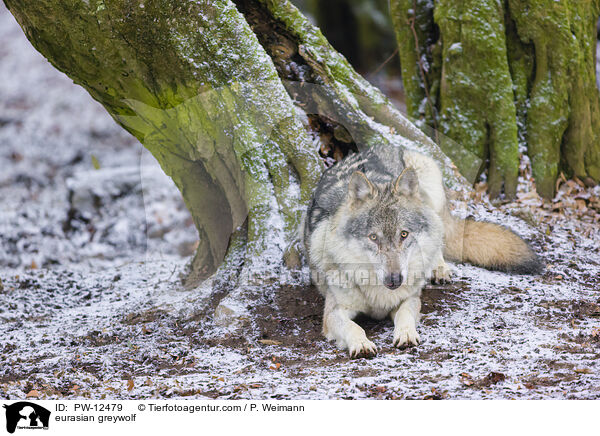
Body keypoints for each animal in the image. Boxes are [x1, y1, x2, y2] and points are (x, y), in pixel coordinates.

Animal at [302, 146, 540, 358]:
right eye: (373, 238)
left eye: (404, 234)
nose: (395, 280)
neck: (378, 295)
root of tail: (377, 146)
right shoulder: (333, 313)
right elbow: (354, 327)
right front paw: (361, 344)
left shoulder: (410, 298)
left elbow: (405, 314)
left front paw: (406, 334)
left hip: (430, 186)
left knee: (439, 237)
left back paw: (439, 269)